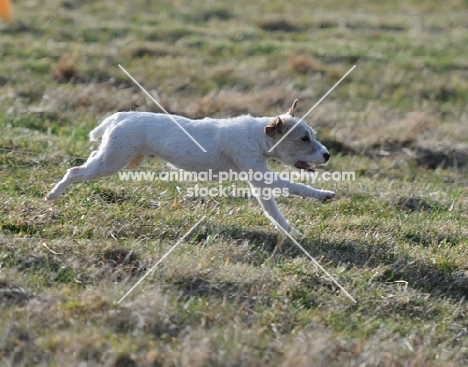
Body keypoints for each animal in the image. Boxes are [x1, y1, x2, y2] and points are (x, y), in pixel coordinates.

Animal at [46, 100, 332, 254]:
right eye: (304, 139)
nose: (328, 155)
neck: (258, 136)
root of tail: (120, 116)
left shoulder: (260, 182)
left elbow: (274, 213)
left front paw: (293, 233)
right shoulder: (261, 174)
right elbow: (295, 185)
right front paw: (323, 194)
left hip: (117, 158)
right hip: (111, 162)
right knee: (74, 171)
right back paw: (53, 193)